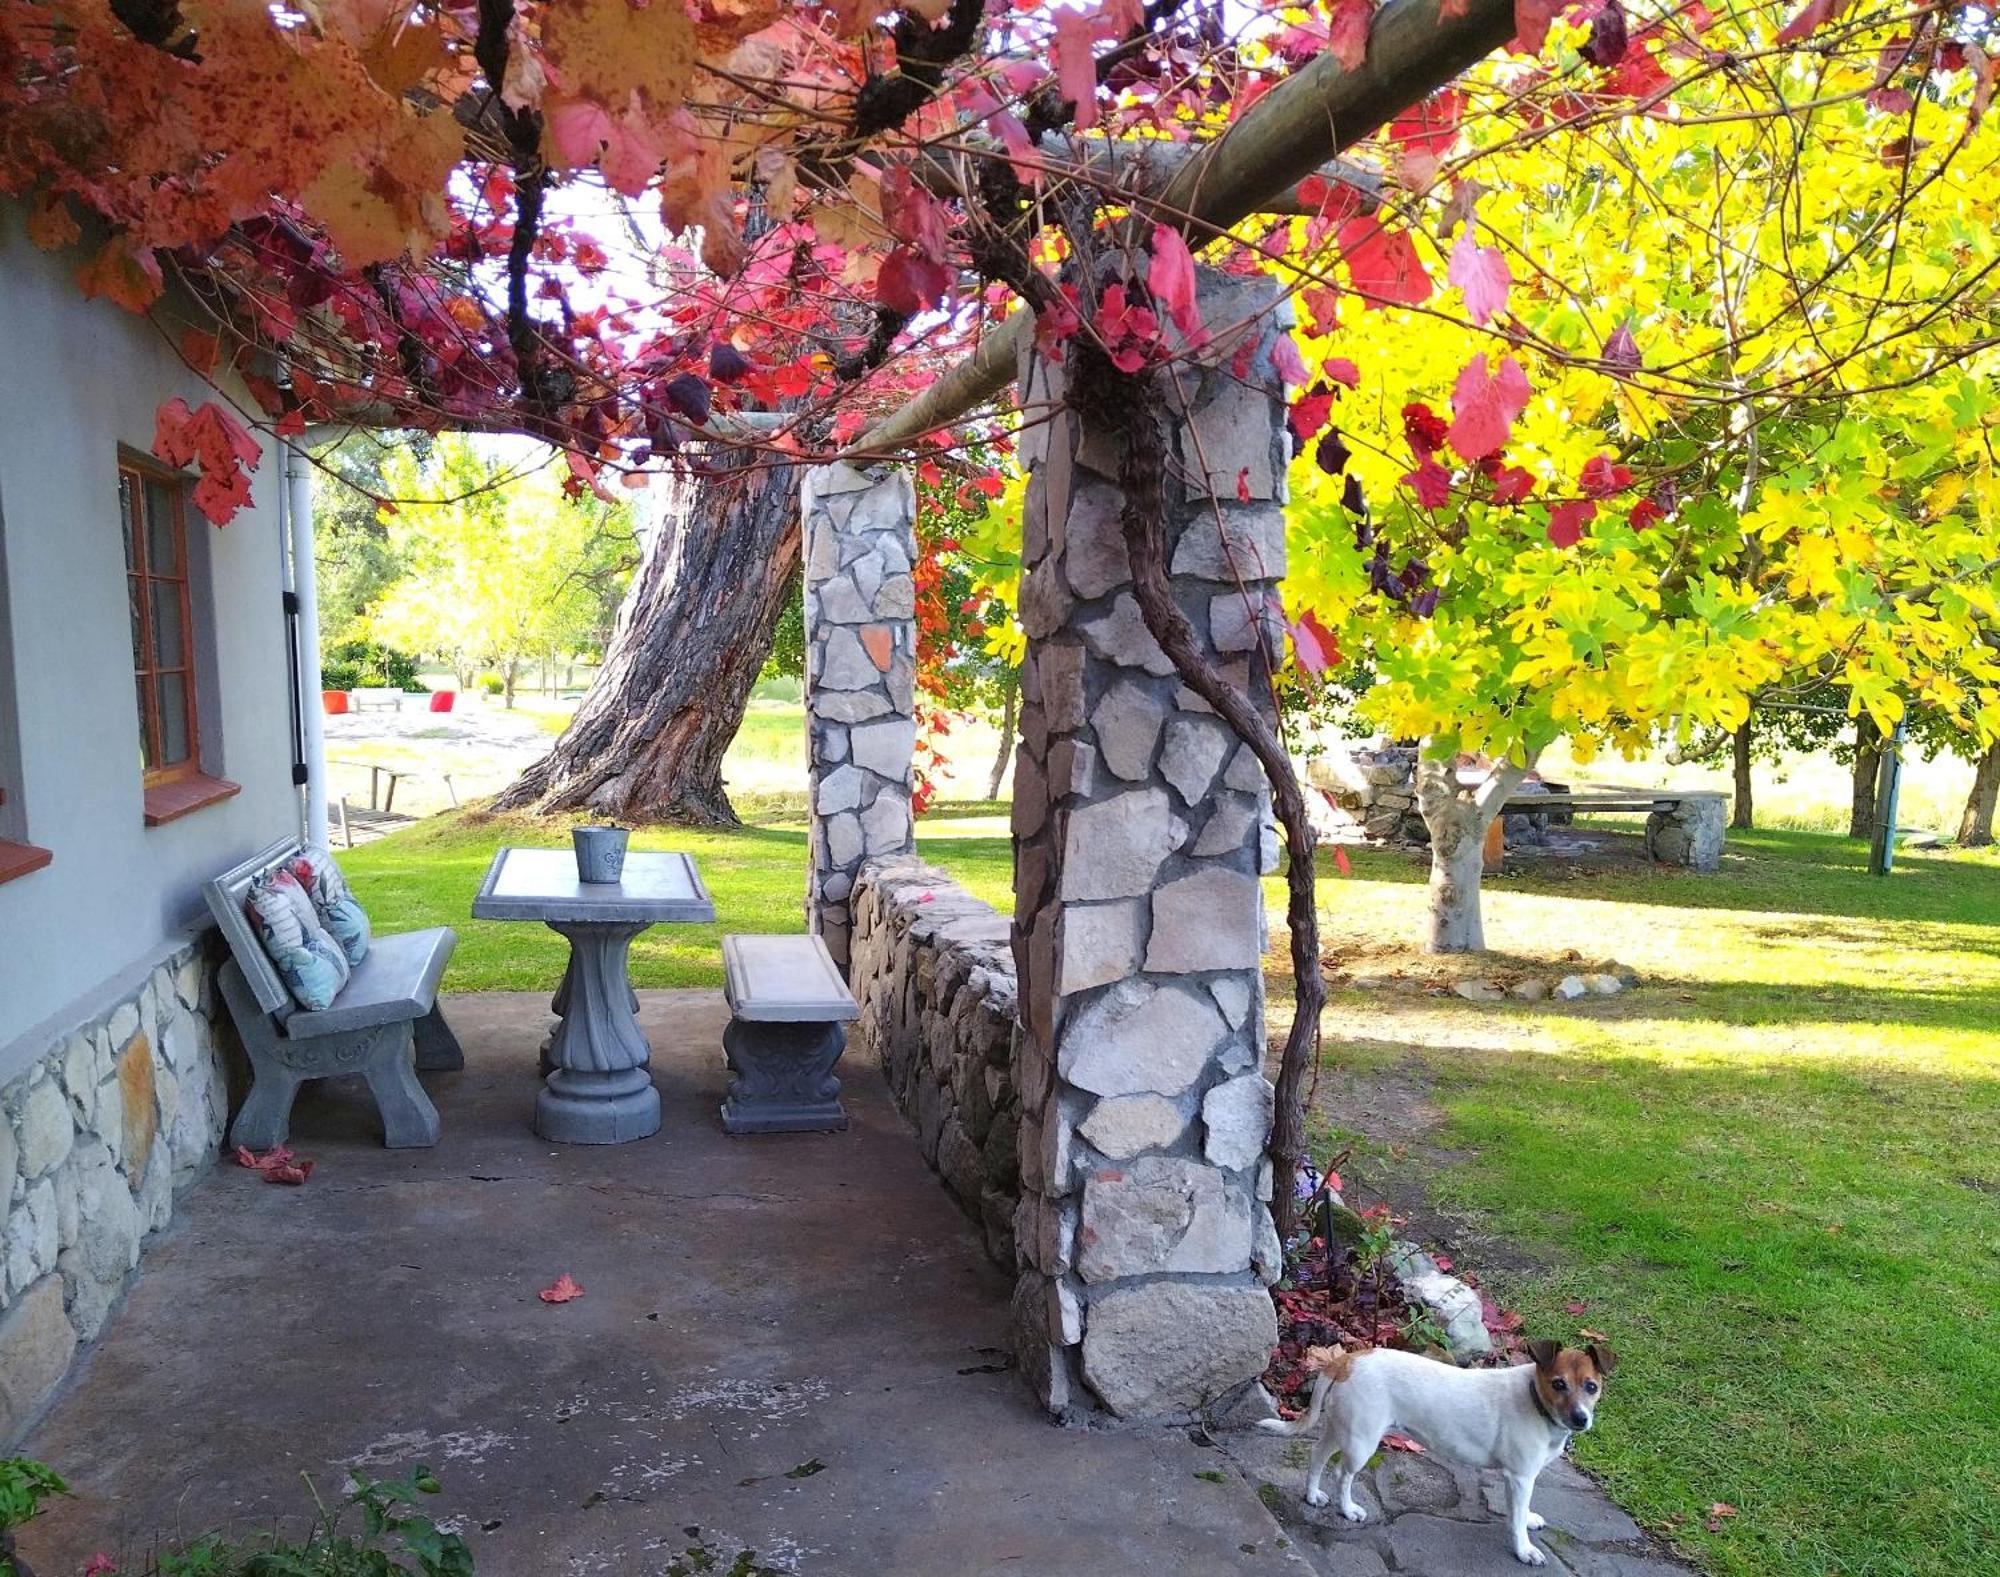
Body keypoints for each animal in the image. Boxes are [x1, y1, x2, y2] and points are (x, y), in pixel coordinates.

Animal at [1256, 1344, 1616, 1560]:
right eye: (1558, 1384)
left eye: (1591, 1387)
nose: (1581, 1419)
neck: (1534, 1398)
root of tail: (1346, 1359)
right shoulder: (1519, 1477)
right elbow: (1514, 1520)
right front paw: (1524, 1549)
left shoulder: (1522, 1479)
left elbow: (1519, 1510)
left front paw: (1527, 1518)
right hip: (1361, 1442)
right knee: (1341, 1474)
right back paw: (1348, 1510)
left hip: (1341, 1428)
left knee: (1317, 1456)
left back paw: (1312, 1495)